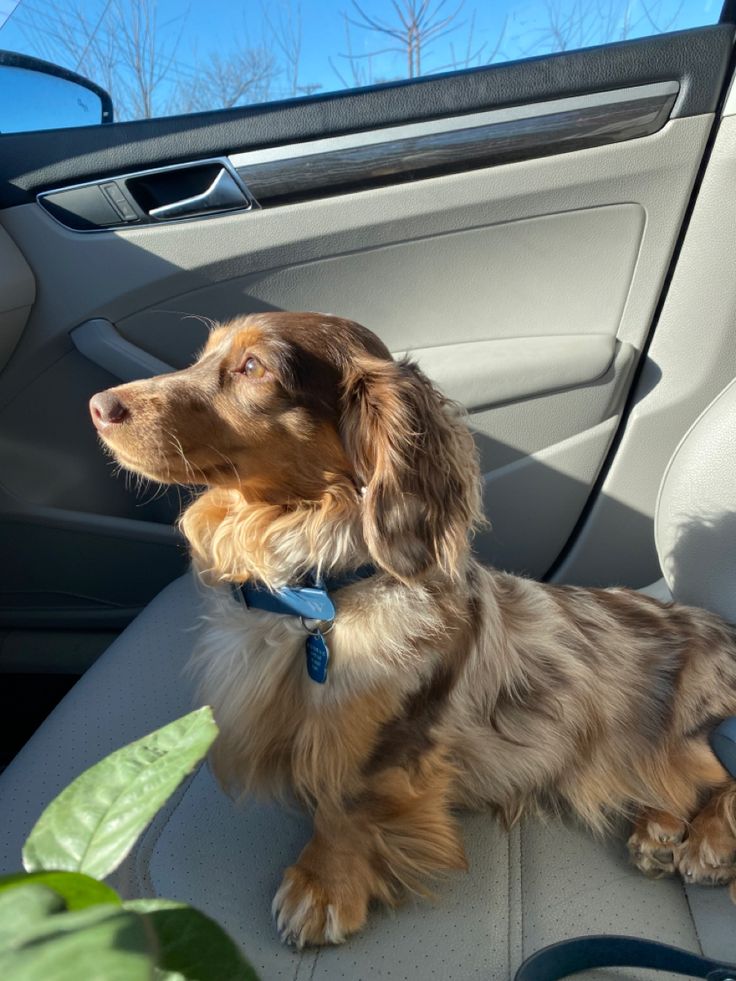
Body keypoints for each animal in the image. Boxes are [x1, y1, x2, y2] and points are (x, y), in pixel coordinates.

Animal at [90, 310, 736, 944]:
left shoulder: (390, 734)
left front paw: (324, 885)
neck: (320, 588)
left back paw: (707, 841)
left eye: (253, 367)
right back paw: (658, 829)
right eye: (204, 355)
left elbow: (346, 800)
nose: (99, 405)